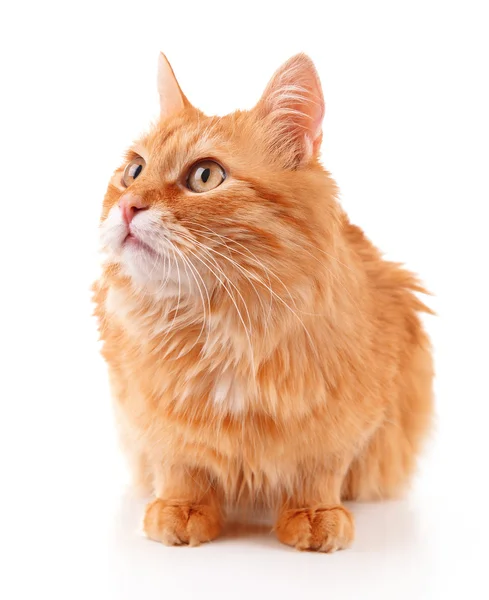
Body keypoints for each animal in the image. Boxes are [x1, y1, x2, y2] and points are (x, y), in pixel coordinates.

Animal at [93, 52, 432, 552]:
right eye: (133, 172)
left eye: (205, 175)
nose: (128, 206)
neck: (221, 330)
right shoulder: (148, 414)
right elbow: (179, 465)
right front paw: (181, 509)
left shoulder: (351, 415)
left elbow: (318, 470)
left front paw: (313, 515)